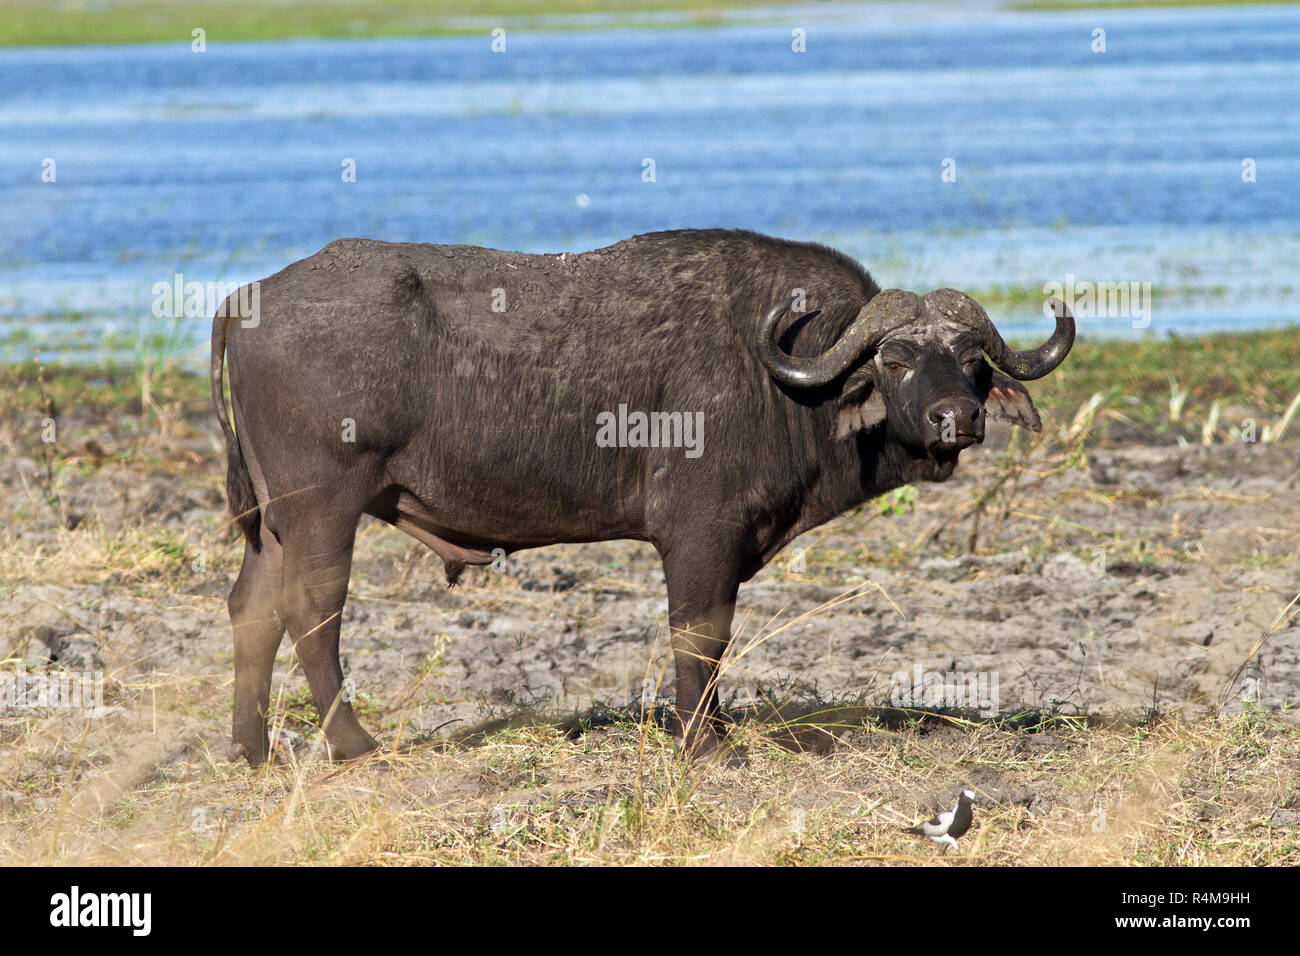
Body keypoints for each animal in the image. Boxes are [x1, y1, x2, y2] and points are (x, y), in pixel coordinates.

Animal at [211, 228, 1074, 765]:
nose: (956, 417)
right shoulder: (699, 534)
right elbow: (700, 634)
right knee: (312, 613)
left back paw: (253, 749)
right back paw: (353, 745)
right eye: (894, 359)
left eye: (973, 361)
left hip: (275, 523)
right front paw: (705, 744)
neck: (783, 382)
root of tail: (249, 299)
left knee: (252, 609)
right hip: (324, 507)